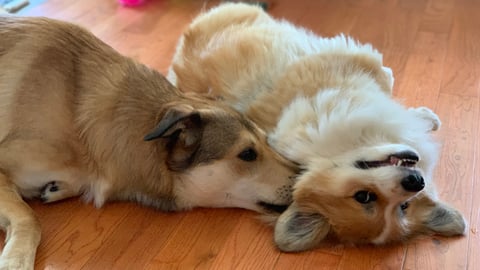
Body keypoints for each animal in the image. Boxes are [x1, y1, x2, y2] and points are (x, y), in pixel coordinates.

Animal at [0, 15, 296, 268]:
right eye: (247, 154)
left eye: (267, 141)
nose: (302, 174)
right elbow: (31, 219)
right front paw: (16, 259)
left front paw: (57, 187)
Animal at [167, 2, 466, 251]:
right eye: (364, 197)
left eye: (404, 207)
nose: (416, 181)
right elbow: (384, 74)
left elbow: (388, 84)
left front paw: (426, 117)